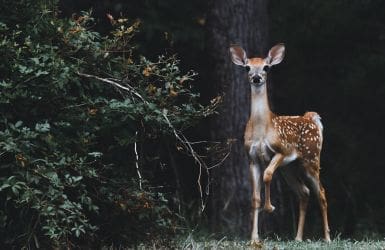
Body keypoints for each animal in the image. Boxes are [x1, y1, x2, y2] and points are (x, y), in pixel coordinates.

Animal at [228, 44, 330, 243]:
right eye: (247, 67)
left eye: (266, 67)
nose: (256, 77)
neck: (262, 129)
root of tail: (312, 118)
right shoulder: (252, 159)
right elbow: (255, 198)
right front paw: (254, 238)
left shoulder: (281, 150)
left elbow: (267, 175)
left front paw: (270, 207)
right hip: (289, 168)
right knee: (304, 192)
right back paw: (298, 238)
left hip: (311, 159)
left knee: (321, 193)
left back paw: (327, 238)